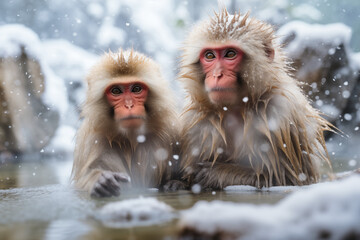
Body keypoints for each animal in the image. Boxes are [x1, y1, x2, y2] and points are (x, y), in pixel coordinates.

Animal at [71, 49, 180, 197]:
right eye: (116, 91)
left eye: (136, 89)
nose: (129, 105)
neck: (132, 138)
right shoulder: (93, 139)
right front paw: (100, 181)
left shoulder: (173, 130)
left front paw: (176, 183)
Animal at [179, 8, 332, 189]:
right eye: (209, 56)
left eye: (230, 54)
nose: (217, 74)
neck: (237, 107)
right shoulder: (195, 121)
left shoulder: (281, 113)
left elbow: (284, 179)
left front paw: (210, 173)